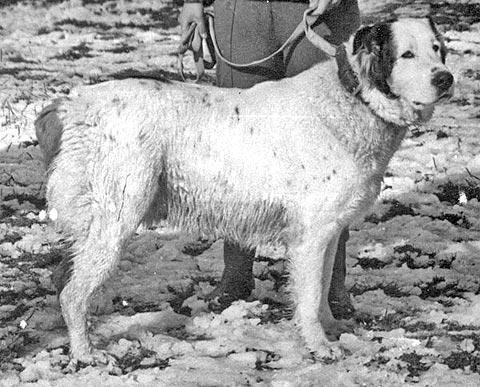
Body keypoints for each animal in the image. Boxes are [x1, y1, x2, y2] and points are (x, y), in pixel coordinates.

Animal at [35, 17, 452, 364]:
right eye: (407, 54)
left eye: (437, 48)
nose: (446, 78)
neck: (351, 96)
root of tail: (75, 103)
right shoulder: (311, 237)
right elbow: (309, 295)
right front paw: (318, 346)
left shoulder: (329, 231)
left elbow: (321, 290)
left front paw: (330, 327)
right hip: (117, 217)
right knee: (72, 293)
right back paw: (85, 352)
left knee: (64, 278)